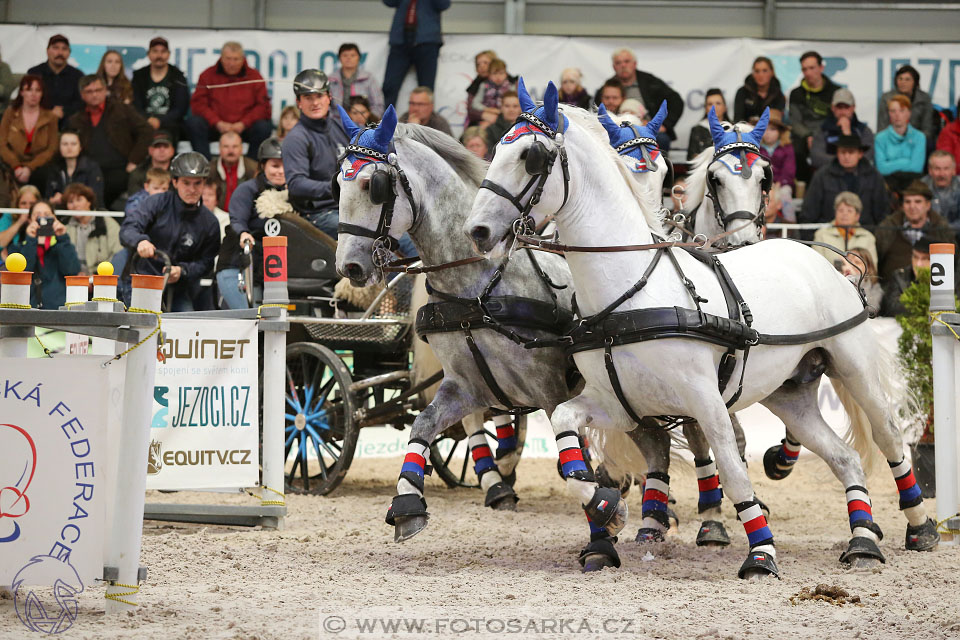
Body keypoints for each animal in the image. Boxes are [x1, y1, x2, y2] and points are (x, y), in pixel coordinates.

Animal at [464, 80, 936, 580]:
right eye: (496, 149)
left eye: (531, 157)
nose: (477, 230)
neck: (630, 291)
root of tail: (817, 256)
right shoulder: (620, 404)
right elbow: (566, 433)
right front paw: (608, 510)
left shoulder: (705, 401)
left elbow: (732, 468)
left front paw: (760, 552)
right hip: (790, 394)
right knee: (844, 457)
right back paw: (862, 538)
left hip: (853, 367)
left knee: (888, 437)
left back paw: (919, 526)